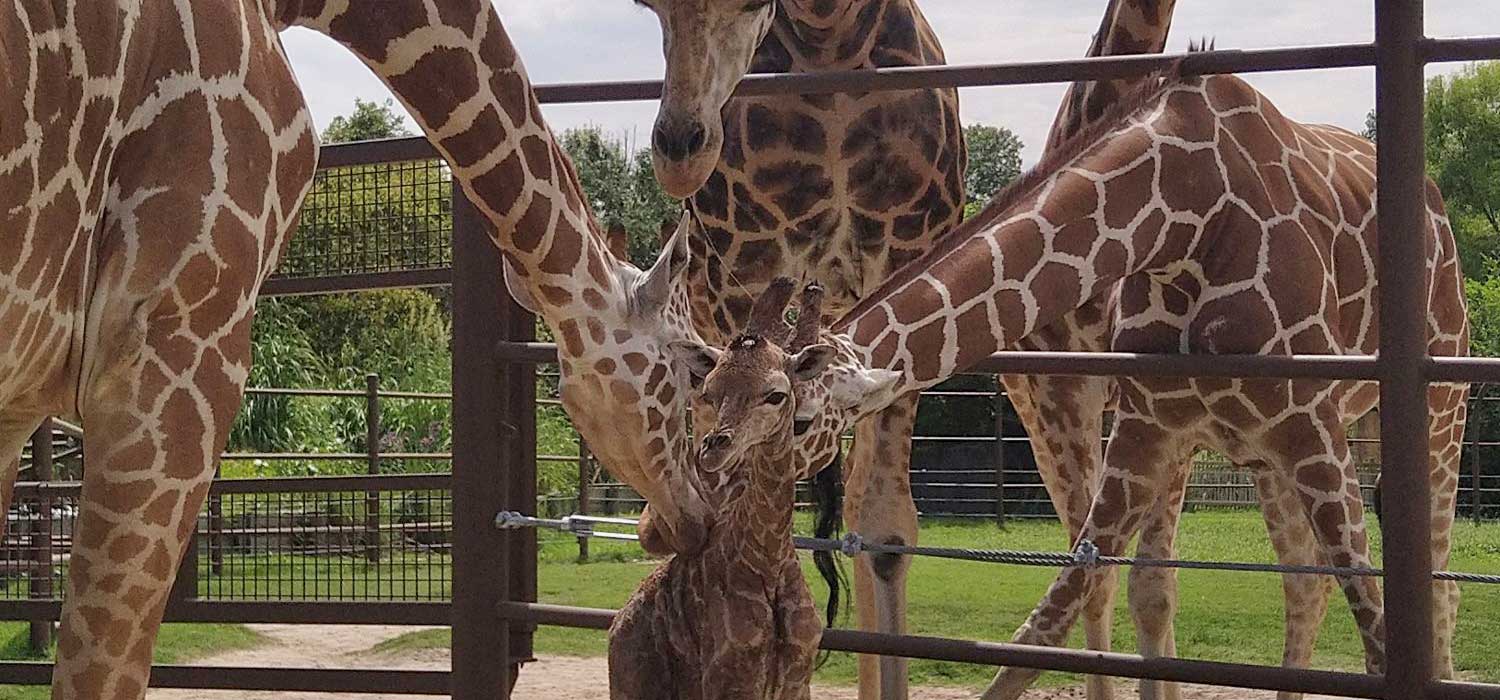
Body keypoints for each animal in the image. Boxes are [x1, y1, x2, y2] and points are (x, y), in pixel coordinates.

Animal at [610, 278, 827, 700]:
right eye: (709, 392)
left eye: (775, 394)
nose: (713, 449)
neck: (769, 562)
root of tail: (616, 625)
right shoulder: (729, 679)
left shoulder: (797, 678)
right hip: (631, 685)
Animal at [631, 2, 965, 696]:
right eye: (648, 9)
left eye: (752, 8)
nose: (680, 153)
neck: (829, 40)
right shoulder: (746, 266)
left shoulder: (907, 249)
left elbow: (885, 528)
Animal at [782, 68, 1468, 699]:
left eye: (793, 417)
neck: (1184, 223)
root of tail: (1437, 205)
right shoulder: (1148, 431)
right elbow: (1044, 627)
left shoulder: (1313, 428)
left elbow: (1378, 631)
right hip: (1265, 455)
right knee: (1306, 582)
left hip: (1439, 403)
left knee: (1439, 583)